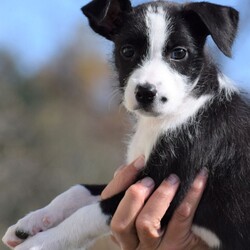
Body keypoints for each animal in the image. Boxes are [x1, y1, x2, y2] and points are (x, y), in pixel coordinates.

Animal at [2, 0, 250, 250]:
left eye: (179, 53)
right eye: (127, 51)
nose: (146, 93)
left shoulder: (169, 189)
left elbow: (88, 212)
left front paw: (39, 242)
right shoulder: (136, 180)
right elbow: (79, 190)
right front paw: (31, 222)